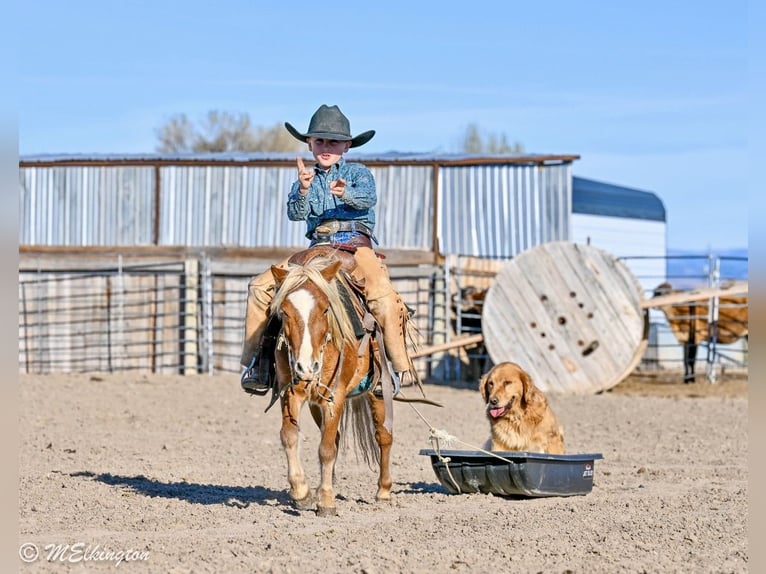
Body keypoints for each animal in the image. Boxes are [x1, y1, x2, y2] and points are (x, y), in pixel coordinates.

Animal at [268, 246, 397, 516]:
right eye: (284, 312)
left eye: (326, 309)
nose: (307, 367)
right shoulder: (291, 392)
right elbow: (289, 436)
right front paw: (303, 492)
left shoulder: (334, 396)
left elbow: (326, 450)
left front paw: (326, 502)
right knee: (334, 436)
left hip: (378, 390)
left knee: (383, 436)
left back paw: (383, 491)